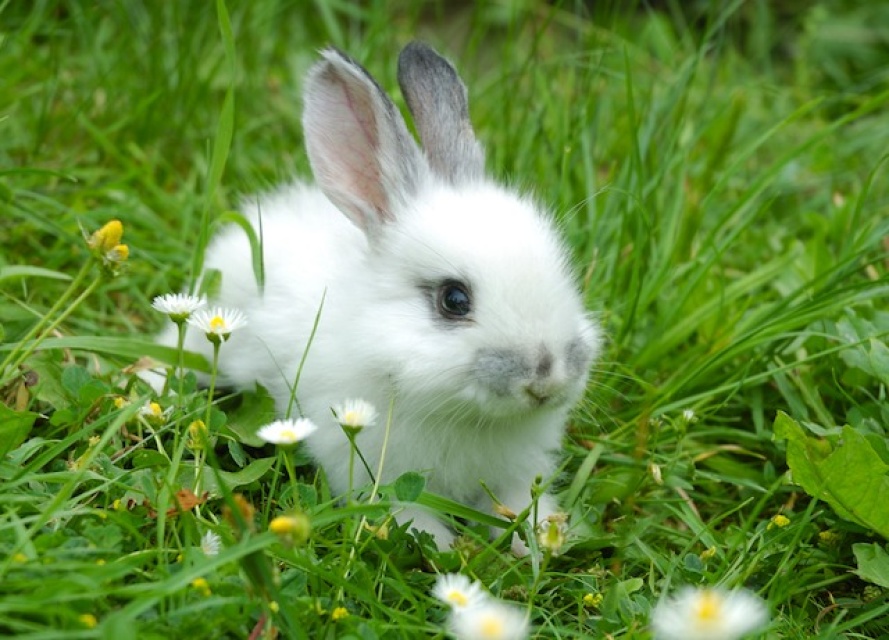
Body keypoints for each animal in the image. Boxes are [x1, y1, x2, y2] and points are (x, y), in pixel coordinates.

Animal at [160, 42, 604, 552]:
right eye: (454, 300)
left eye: (563, 271)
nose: (548, 377)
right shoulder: (373, 466)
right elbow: (409, 513)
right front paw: (444, 549)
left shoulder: (518, 471)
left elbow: (520, 504)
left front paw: (544, 539)